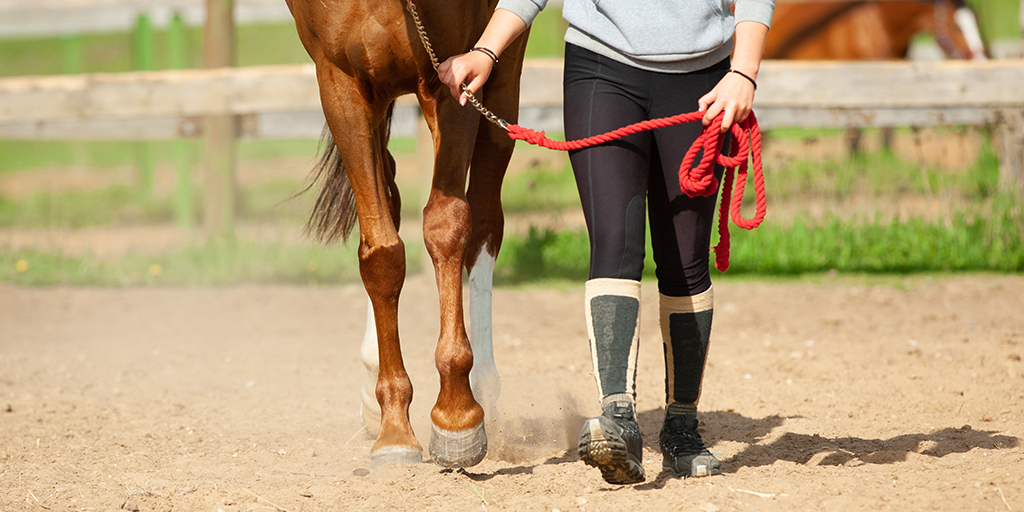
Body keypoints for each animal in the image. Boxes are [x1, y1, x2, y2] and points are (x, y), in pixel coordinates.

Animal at [286, 0, 532, 468]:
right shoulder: (341, 85)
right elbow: (380, 248)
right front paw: (394, 427)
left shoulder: (454, 76)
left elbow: (446, 225)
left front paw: (457, 415)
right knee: (391, 201)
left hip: (502, 78)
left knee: (485, 224)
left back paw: (486, 393)